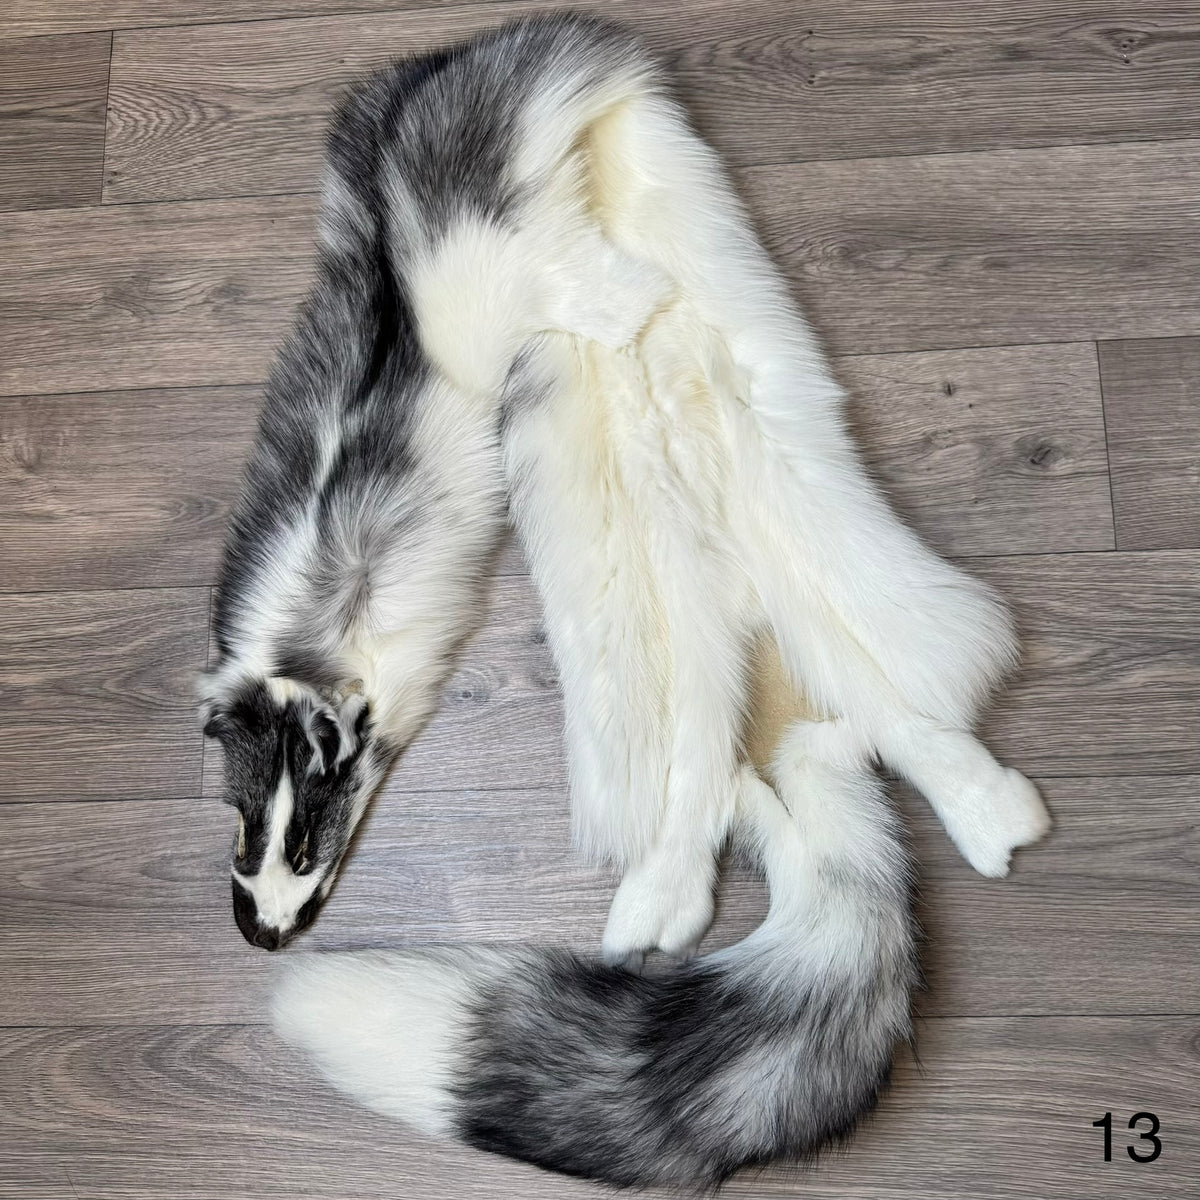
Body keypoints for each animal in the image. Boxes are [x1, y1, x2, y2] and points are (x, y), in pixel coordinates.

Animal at [200, 15, 1050, 1187]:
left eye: (312, 835)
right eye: (243, 829)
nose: (264, 934)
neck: (317, 631)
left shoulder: (468, 283)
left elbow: (538, 279)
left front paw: (612, 297)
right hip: (715, 629)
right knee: (779, 758)